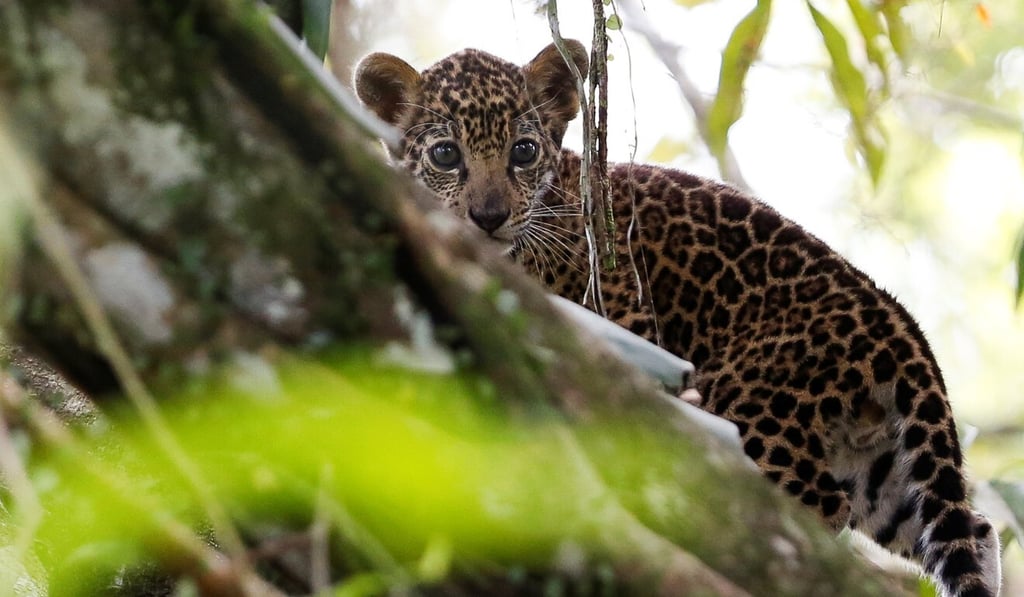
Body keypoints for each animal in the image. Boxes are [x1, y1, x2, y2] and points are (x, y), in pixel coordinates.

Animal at [353, 40, 1002, 596]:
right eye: (446, 155)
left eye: (523, 152)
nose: (488, 217)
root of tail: (903, 331)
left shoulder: (620, 314)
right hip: (886, 475)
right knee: (974, 533)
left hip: (758, 411)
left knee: (795, 507)